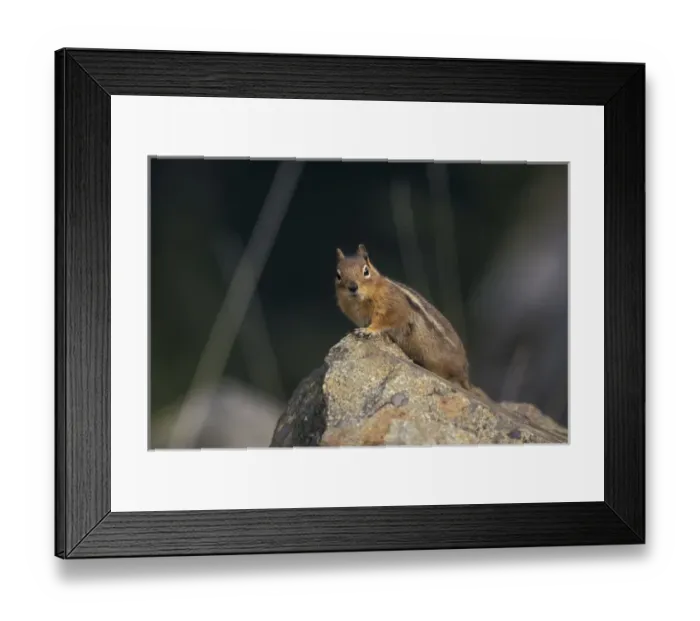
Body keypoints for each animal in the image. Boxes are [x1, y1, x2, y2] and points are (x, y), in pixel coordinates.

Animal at [335, 244, 472, 391]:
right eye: (338, 275)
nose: (352, 287)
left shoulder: (393, 308)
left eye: (366, 271)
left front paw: (368, 330)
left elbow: (384, 321)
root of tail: (465, 373)